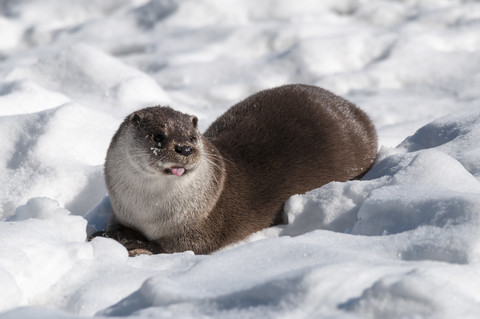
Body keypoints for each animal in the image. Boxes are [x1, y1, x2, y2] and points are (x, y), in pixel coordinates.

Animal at [93, 84, 378, 256]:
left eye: (192, 136)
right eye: (158, 136)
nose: (184, 148)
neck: (149, 212)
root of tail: (356, 111)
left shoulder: (203, 228)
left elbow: (177, 248)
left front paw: (136, 243)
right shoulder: (121, 211)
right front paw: (110, 233)